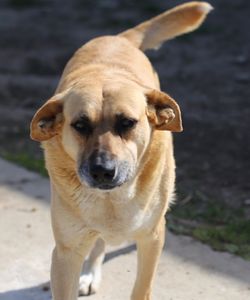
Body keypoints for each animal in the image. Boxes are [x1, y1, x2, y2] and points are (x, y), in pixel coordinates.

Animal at [30, 2, 212, 300]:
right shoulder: (67, 252)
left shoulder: (152, 239)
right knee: (99, 243)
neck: (112, 200)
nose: (102, 171)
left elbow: (141, 288)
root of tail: (118, 38)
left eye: (127, 123)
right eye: (80, 125)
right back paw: (91, 273)